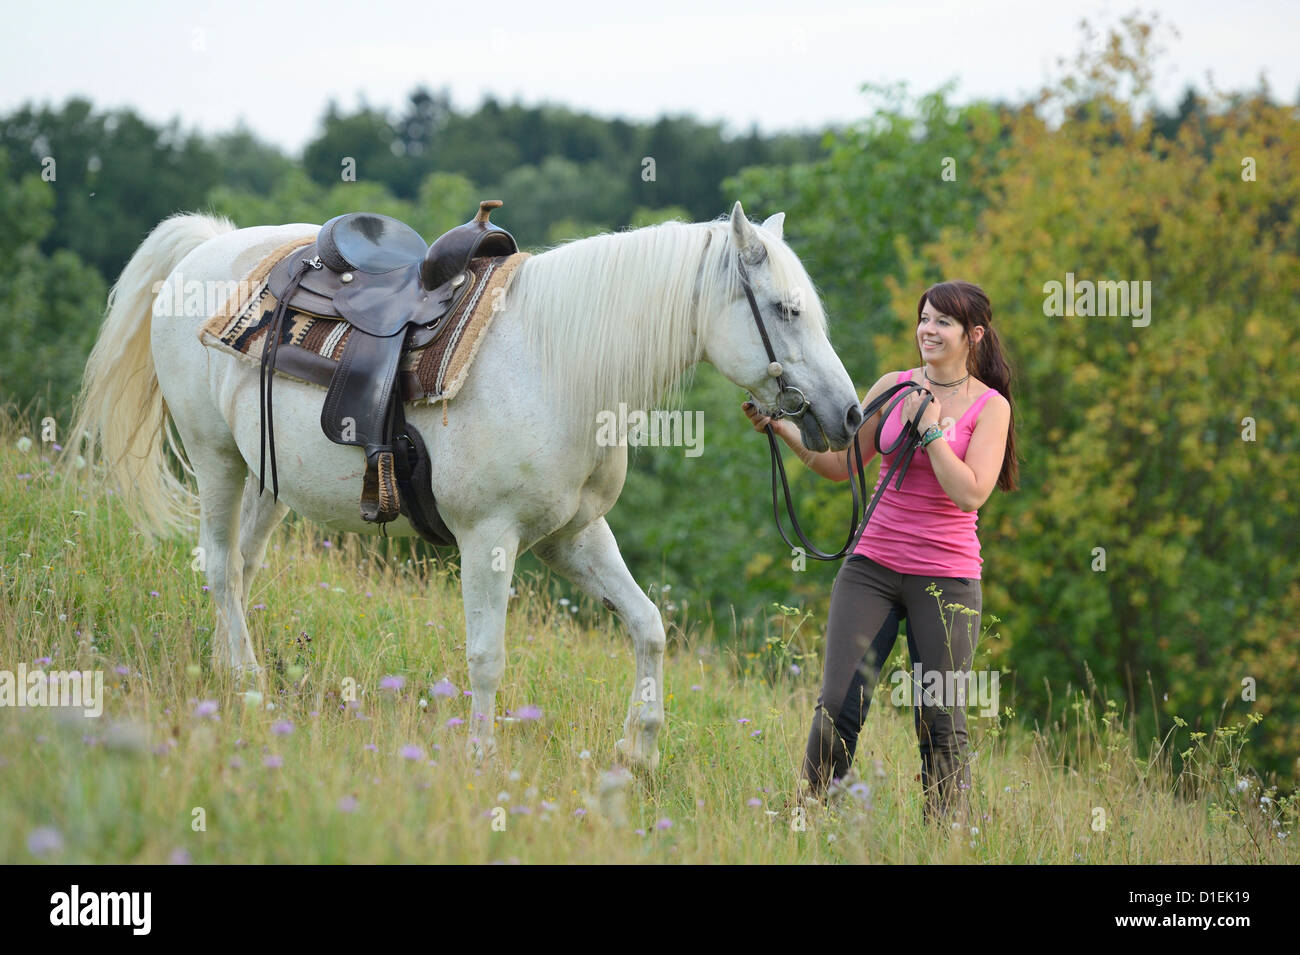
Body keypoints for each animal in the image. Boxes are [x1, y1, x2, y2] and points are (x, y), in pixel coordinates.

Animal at [70, 201, 864, 770]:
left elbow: (648, 626)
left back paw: (227, 669)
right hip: (216, 462)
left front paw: (639, 751)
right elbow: (487, 654)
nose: (850, 415)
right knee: (216, 566)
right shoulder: (489, 538)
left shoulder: (573, 537)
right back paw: (246, 683)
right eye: (787, 310)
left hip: (264, 478)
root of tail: (207, 246)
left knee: (239, 567)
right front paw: (481, 757)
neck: (555, 365)